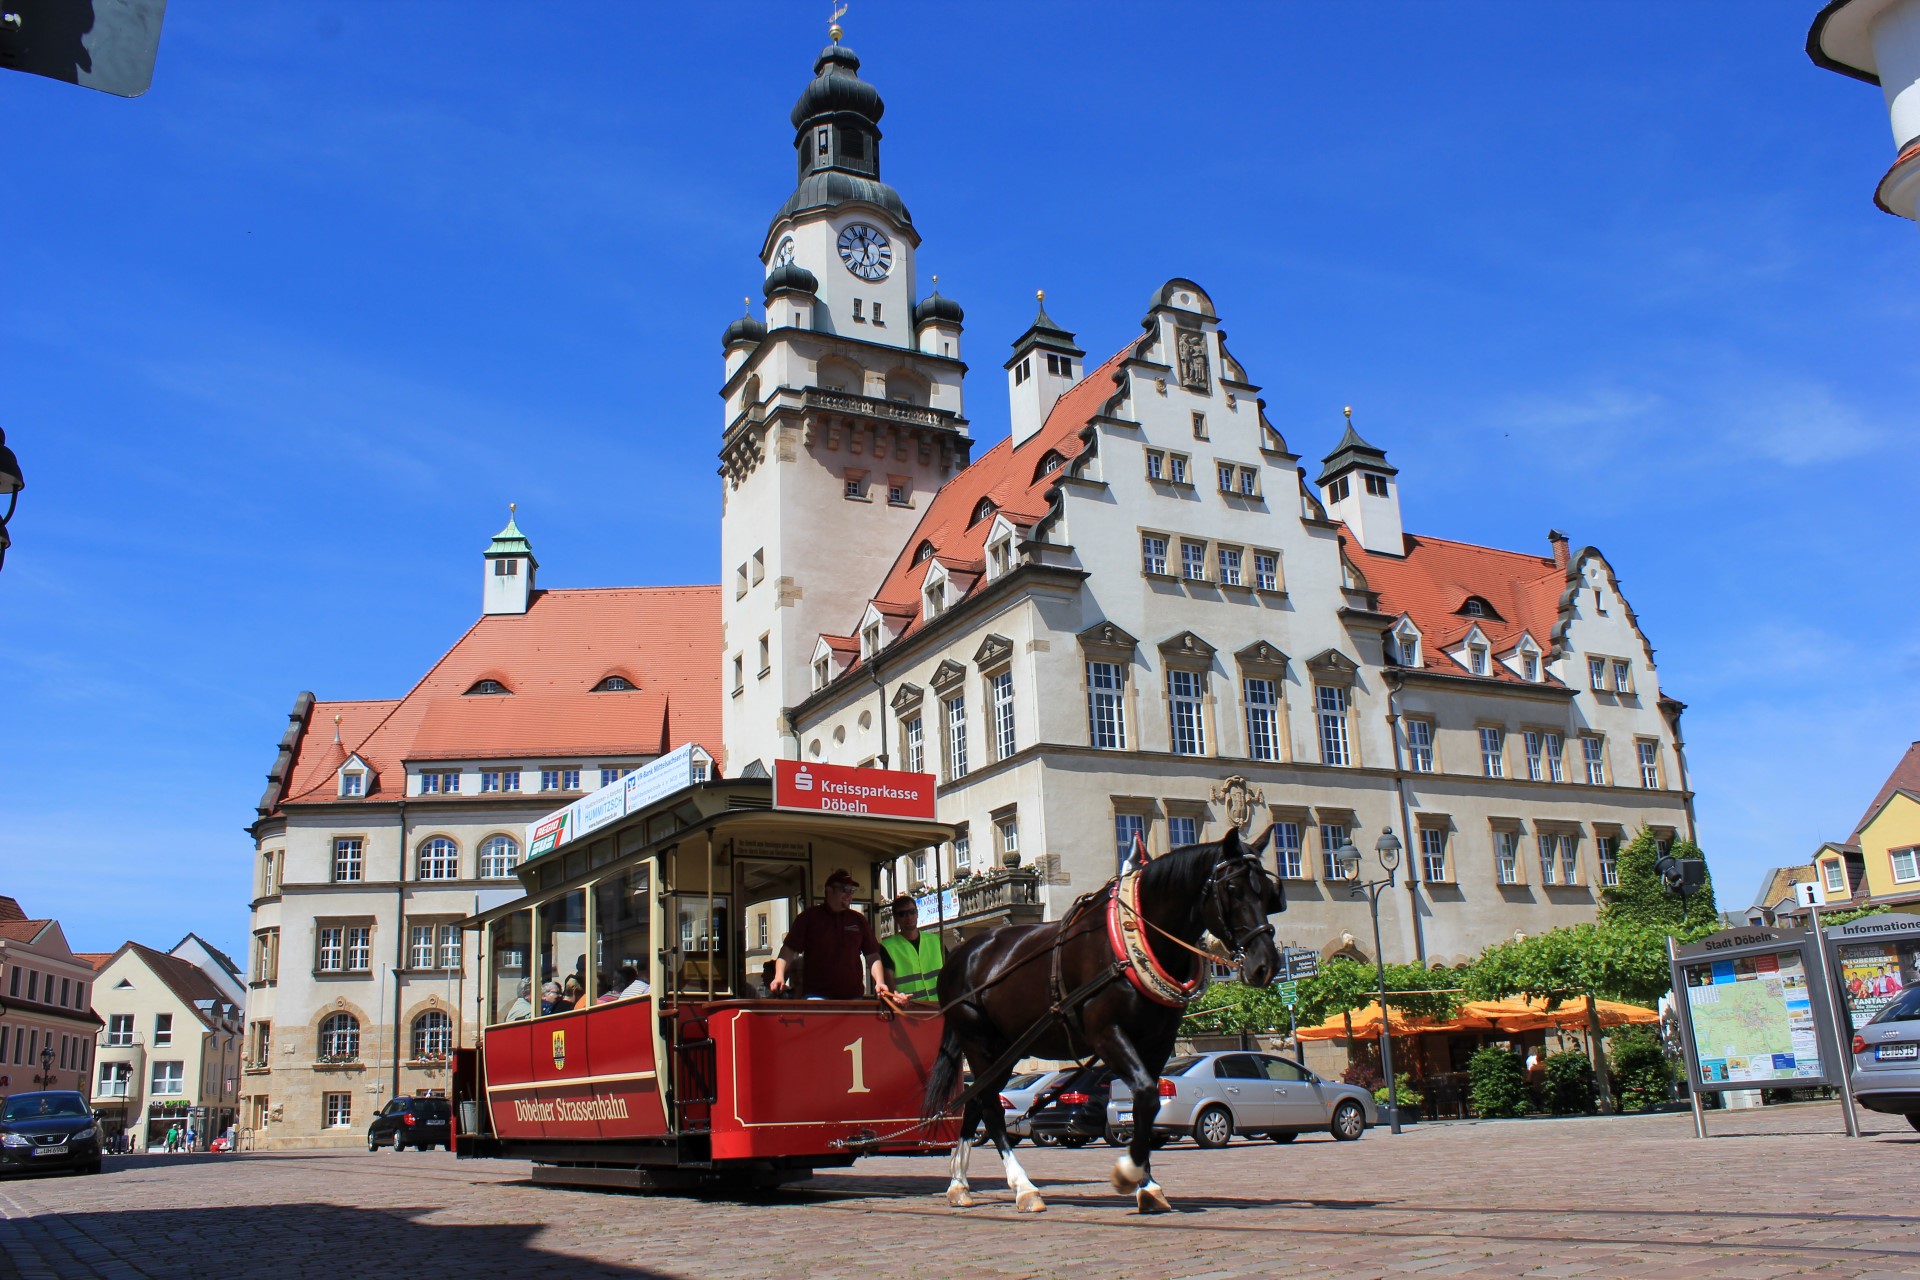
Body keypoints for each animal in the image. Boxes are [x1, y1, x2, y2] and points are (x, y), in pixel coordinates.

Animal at [921, 825, 1282, 1220]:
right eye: (1232, 888)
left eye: (1269, 893)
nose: (1265, 964)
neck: (1133, 940)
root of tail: (962, 953)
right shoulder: (1107, 1034)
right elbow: (1145, 1095)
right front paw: (1128, 1173)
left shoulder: (1158, 1042)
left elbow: (1145, 1105)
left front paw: (1147, 1185)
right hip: (979, 1043)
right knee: (989, 1106)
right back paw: (1023, 1187)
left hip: (1007, 1049)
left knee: (976, 1102)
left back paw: (959, 1184)